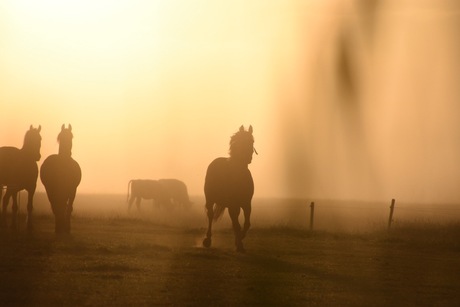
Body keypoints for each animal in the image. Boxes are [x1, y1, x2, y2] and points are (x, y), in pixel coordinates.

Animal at [203, 125, 256, 253]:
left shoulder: (246, 204)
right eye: (239, 142)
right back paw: (207, 240)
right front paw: (239, 244)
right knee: (210, 216)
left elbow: (246, 224)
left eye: (252, 141)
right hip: (210, 199)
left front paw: (240, 240)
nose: (248, 158)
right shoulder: (233, 204)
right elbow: (237, 225)